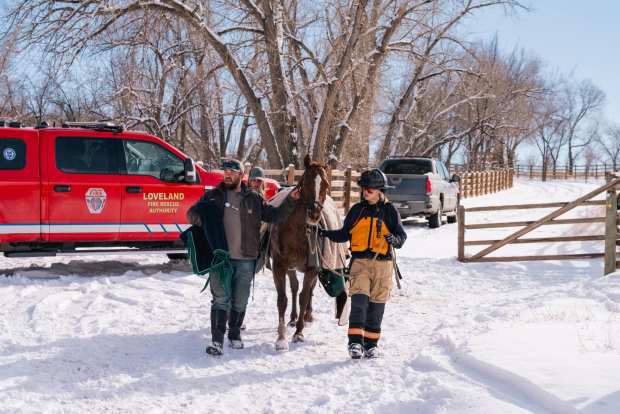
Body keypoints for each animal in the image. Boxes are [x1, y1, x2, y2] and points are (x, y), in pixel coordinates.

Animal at [270, 154, 332, 350]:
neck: (297, 231)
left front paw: (299, 333)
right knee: (294, 287)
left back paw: (307, 315)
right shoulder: (280, 266)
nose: (314, 214)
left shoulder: (312, 269)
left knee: (308, 290)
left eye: (326, 184)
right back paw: (293, 318)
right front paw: (281, 337)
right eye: (306, 182)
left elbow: (304, 296)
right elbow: (282, 299)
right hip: (291, 268)